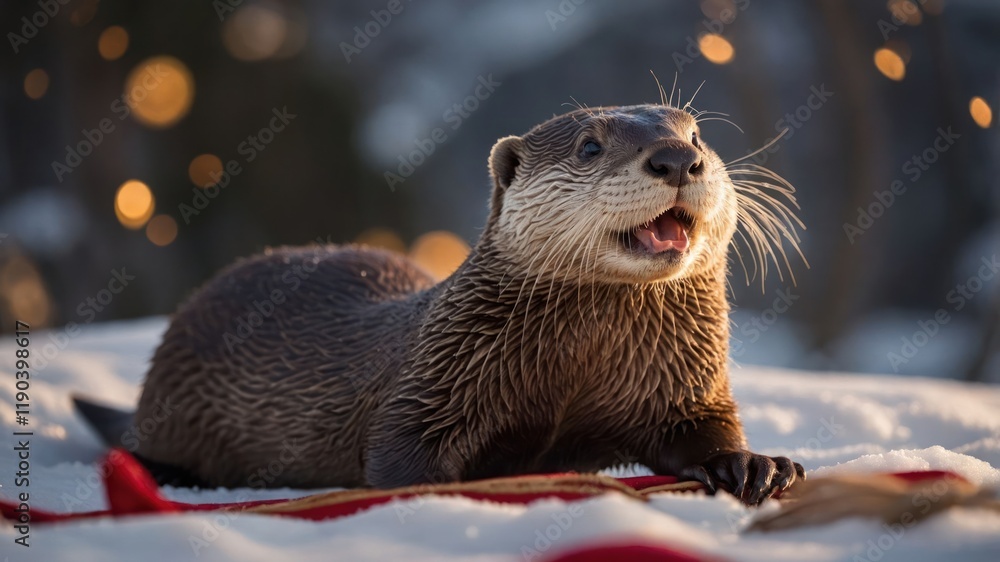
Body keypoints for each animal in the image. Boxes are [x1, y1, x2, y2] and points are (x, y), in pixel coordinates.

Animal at [75, 104, 805, 505]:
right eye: (590, 145)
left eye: (698, 135)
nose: (677, 158)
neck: (574, 368)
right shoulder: (431, 382)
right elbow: (398, 455)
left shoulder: (678, 385)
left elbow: (700, 433)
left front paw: (754, 464)